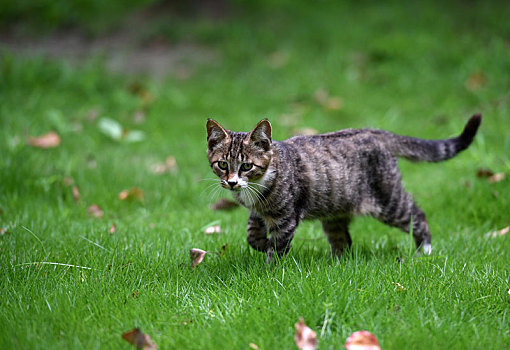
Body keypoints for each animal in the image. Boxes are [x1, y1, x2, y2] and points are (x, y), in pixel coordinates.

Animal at [206, 115, 482, 262]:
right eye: (222, 164)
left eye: (246, 166)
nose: (232, 182)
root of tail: (373, 132)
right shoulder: (258, 211)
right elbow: (252, 233)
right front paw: (260, 243)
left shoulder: (286, 217)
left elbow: (278, 248)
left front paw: (270, 270)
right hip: (335, 210)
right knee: (343, 240)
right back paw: (338, 264)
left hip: (388, 200)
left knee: (418, 216)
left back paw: (425, 251)